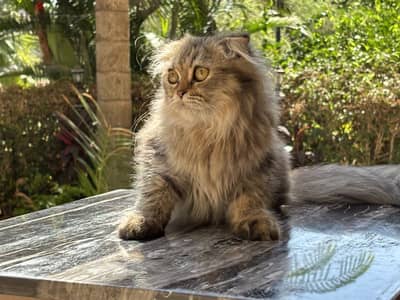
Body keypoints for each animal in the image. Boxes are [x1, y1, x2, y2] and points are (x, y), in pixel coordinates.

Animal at [119, 32, 400, 241]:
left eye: (200, 73)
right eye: (172, 77)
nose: (179, 92)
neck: (207, 133)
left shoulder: (258, 167)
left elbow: (249, 200)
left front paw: (255, 222)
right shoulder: (157, 161)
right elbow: (153, 196)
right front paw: (140, 223)